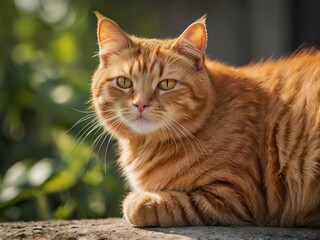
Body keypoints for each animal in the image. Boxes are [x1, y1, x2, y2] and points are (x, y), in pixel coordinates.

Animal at [90, 12, 320, 227]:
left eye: (166, 84)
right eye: (124, 82)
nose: (140, 104)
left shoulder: (237, 195)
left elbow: (171, 204)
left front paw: (140, 201)